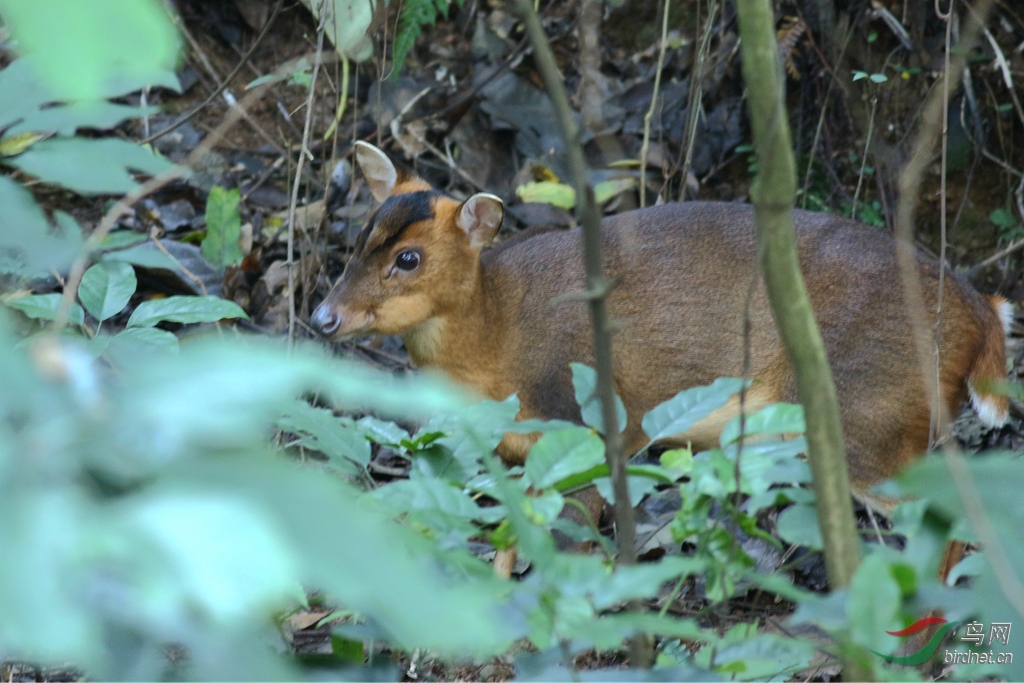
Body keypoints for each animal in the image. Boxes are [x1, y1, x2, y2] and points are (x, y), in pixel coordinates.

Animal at [309, 145, 1007, 511]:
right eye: (361, 236)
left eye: (408, 258)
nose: (322, 317)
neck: (497, 340)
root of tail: (980, 311)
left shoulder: (592, 423)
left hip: (868, 410)